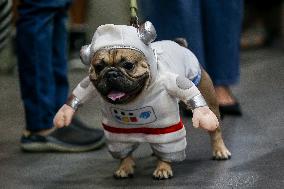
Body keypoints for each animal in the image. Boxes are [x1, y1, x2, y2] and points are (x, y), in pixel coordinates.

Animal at [52, 22, 231, 179]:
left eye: (128, 65)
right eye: (98, 67)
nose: (111, 73)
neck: (133, 100)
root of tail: (181, 45)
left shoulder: (168, 127)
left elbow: (168, 147)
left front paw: (163, 167)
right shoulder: (116, 132)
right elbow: (123, 150)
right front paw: (124, 167)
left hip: (208, 100)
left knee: (215, 130)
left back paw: (219, 150)